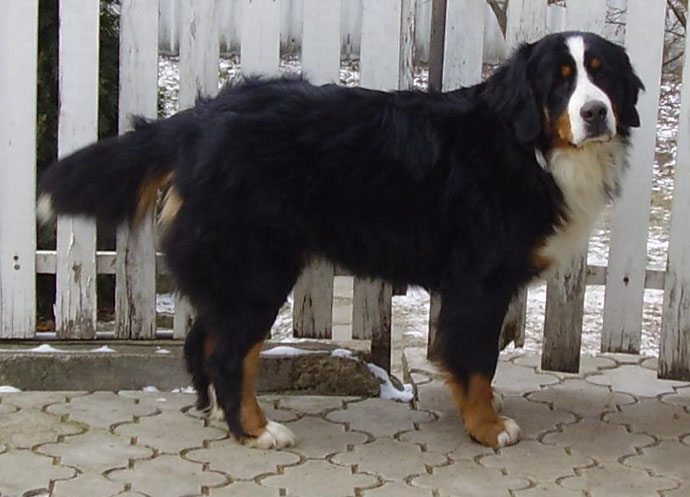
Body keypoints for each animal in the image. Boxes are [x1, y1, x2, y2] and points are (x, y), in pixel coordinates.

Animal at [39, 31, 643, 449]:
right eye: (559, 80)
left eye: (602, 75)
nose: (595, 113)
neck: (528, 148)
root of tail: (200, 119)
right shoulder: (480, 284)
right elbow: (477, 362)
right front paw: (487, 427)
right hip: (257, 272)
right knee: (230, 354)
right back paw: (256, 431)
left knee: (202, 344)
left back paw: (220, 418)